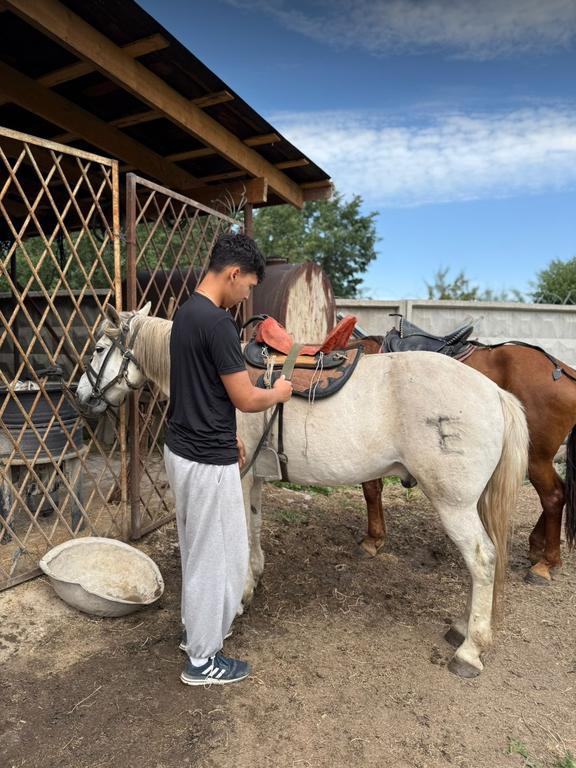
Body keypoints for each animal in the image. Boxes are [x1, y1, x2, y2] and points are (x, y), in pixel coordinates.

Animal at [76, 304, 529, 678]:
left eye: (98, 349)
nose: (80, 396)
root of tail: (494, 392)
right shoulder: (254, 476)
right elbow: (255, 526)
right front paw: (254, 578)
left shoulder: (238, 474)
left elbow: (242, 532)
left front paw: (241, 593)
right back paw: (462, 627)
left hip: (455, 504)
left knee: (482, 560)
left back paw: (470, 650)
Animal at [353, 334, 576, 585]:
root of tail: (565, 371)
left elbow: (371, 491)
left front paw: (372, 540)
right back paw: (537, 547)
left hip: (536, 458)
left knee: (554, 496)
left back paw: (546, 564)